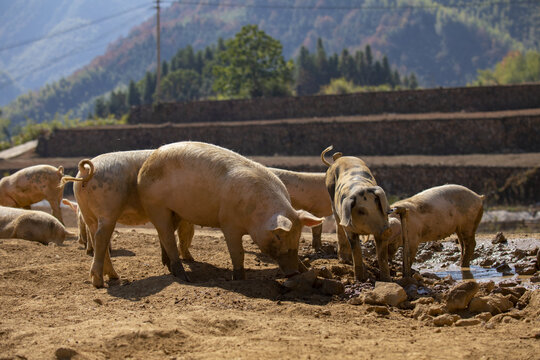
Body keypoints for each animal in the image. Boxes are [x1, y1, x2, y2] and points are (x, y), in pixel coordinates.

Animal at [60, 150, 201, 288]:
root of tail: (86, 171)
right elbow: (185, 234)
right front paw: (190, 259)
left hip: (87, 211)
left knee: (96, 237)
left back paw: (114, 276)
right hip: (108, 210)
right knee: (100, 238)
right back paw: (100, 283)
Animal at [137, 141, 322, 282]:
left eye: (298, 236)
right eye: (277, 236)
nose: (292, 273)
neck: (256, 214)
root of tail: (146, 165)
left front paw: (305, 270)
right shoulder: (228, 223)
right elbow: (237, 252)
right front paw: (239, 279)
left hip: (175, 212)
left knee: (164, 236)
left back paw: (168, 265)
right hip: (156, 206)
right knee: (167, 236)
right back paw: (184, 277)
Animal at [320, 146, 392, 282]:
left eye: (378, 204)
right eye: (361, 211)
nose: (387, 229)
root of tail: (337, 160)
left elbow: (382, 256)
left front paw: (387, 280)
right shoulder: (350, 230)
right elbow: (357, 252)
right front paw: (359, 279)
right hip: (332, 202)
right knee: (339, 229)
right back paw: (344, 260)